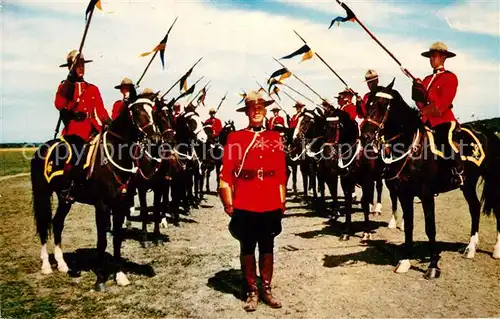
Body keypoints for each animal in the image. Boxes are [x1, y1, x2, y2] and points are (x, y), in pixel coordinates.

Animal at [31, 96, 160, 292]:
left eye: (153, 111)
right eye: (137, 111)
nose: (155, 139)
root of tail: (43, 148)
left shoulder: (120, 205)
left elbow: (117, 239)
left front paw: (120, 275)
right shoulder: (102, 206)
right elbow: (102, 241)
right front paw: (100, 279)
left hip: (65, 199)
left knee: (57, 222)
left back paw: (62, 264)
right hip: (42, 195)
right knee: (44, 224)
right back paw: (46, 265)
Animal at [362, 80, 498, 280]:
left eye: (383, 104)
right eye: (368, 104)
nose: (365, 136)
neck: (412, 149)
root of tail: (487, 132)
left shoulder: (426, 194)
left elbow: (430, 227)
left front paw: (433, 266)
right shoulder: (405, 194)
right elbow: (409, 225)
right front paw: (405, 261)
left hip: (492, 179)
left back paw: (496, 249)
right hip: (467, 184)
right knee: (474, 208)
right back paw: (471, 248)